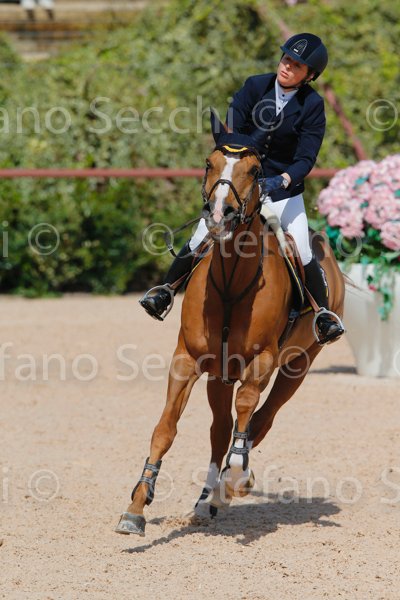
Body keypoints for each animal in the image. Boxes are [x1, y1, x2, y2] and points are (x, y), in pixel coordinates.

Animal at [115, 119, 345, 536]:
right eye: (209, 163)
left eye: (255, 171)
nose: (220, 213)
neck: (231, 282)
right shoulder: (187, 360)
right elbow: (166, 428)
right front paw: (137, 507)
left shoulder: (261, 363)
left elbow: (247, 414)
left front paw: (236, 478)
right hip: (219, 375)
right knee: (221, 430)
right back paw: (206, 501)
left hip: (297, 367)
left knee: (260, 421)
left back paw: (225, 488)